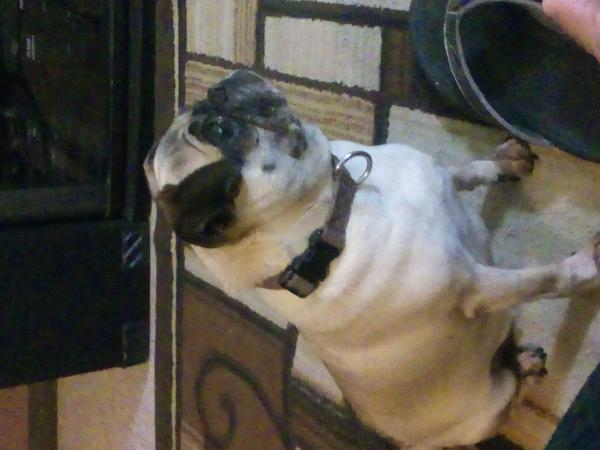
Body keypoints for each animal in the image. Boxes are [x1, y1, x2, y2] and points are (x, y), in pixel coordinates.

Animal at [145, 70, 600, 449]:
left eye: (206, 110)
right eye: (221, 130)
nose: (218, 91)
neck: (335, 208)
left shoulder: (442, 176)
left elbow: (468, 171)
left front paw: (502, 163)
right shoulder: (477, 288)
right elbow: (547, 279)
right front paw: (588, 266)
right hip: (489, 408)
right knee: (510, 391)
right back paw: (525, 365)